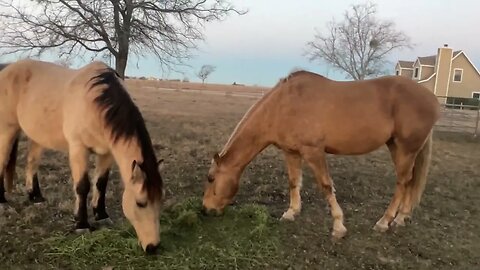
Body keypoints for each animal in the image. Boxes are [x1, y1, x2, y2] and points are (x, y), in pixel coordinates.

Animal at [0, 58, 163, 253]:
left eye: (159, 201)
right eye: (140, 203)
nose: (153, 247)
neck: (95, 103)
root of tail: (7, 69)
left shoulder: (107, 153)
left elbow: (101, 184)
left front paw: (101, 215)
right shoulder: (78, 149)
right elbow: (82, 186)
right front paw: (82, 224)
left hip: (37, 135)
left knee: (31, 162)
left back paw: (35, 196)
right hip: (7, 130)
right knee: (2, 161)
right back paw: (1, 201)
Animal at [201, 69, 440, 238]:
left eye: (211, 178)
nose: (205, 210)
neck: (284, 104)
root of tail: (431, 98)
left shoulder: (313, 152)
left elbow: (326, 186)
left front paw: (338, 226)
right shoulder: (291, 152)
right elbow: (293, 182)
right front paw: (291, 212)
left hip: (406, 148)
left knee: (402, 182)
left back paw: (384, 222)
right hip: (398, 147)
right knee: (410, 181)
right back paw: (401, 218)